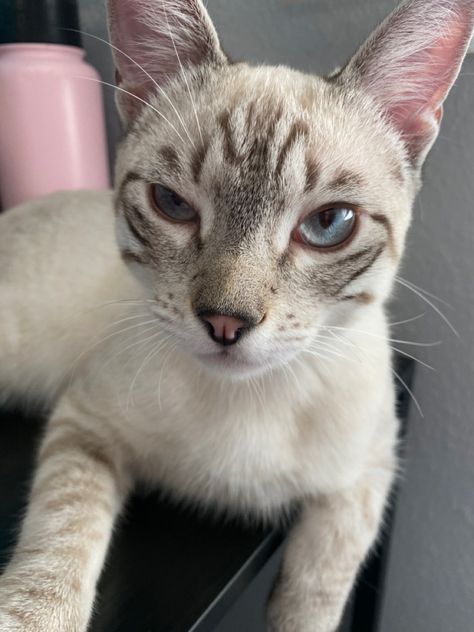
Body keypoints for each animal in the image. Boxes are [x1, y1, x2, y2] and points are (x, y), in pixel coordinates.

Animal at [1, 1, 472, 632]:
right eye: (172, 204)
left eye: (329, 224)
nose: (226, 322)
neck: (248, 400)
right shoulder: (85, 426)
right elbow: (59, 539)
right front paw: (33, 617)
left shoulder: (368, 472)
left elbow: (318, 589)